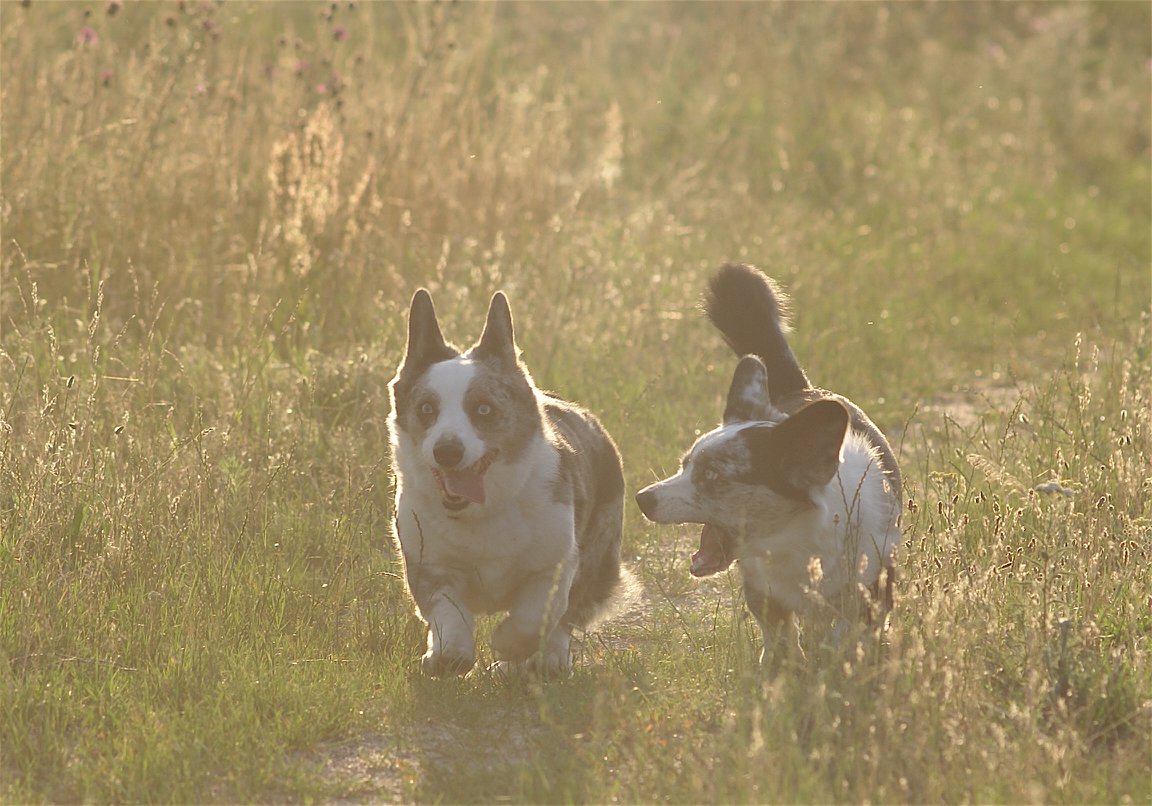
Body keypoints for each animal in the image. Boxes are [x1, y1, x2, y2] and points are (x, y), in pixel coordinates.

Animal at [391, 286, 635, 677]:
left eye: (483, 409)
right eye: (426, 409)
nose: (447, 452)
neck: (482, 512)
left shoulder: (554, 566)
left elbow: (535, 617)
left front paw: (507, 645)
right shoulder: (430, 566)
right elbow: (449, 612)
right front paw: (448, 655)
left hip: (598, 556)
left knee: (565, 621)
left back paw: (541, 663)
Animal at [635, 264, 903, 663]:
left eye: (712, 475)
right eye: (685, 465)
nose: (641, 499)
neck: (793, 540)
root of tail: (800, 389)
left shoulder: (872, 587)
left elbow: (845, 635)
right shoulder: (763, 587)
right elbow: (779, 633)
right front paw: (782, 665)